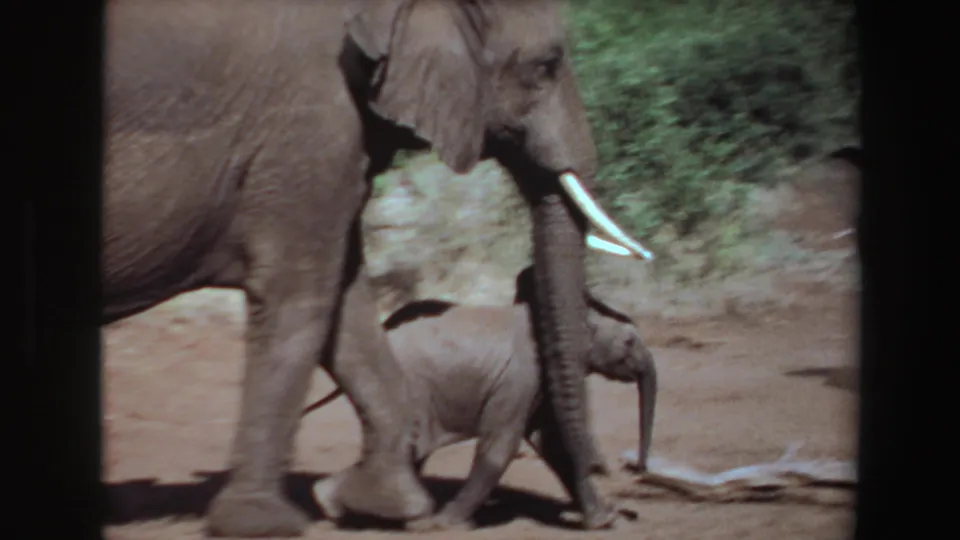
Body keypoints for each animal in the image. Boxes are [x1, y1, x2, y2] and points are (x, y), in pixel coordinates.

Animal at [303, 266, 658, 531]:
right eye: (629, 342)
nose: (637, 469)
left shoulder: (537, 385)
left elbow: (551, 444)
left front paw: (603, 521)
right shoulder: (520, 377)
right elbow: (502, 444)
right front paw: (447, 524)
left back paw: (336, 505)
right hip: (413, 389)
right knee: (410, 447)